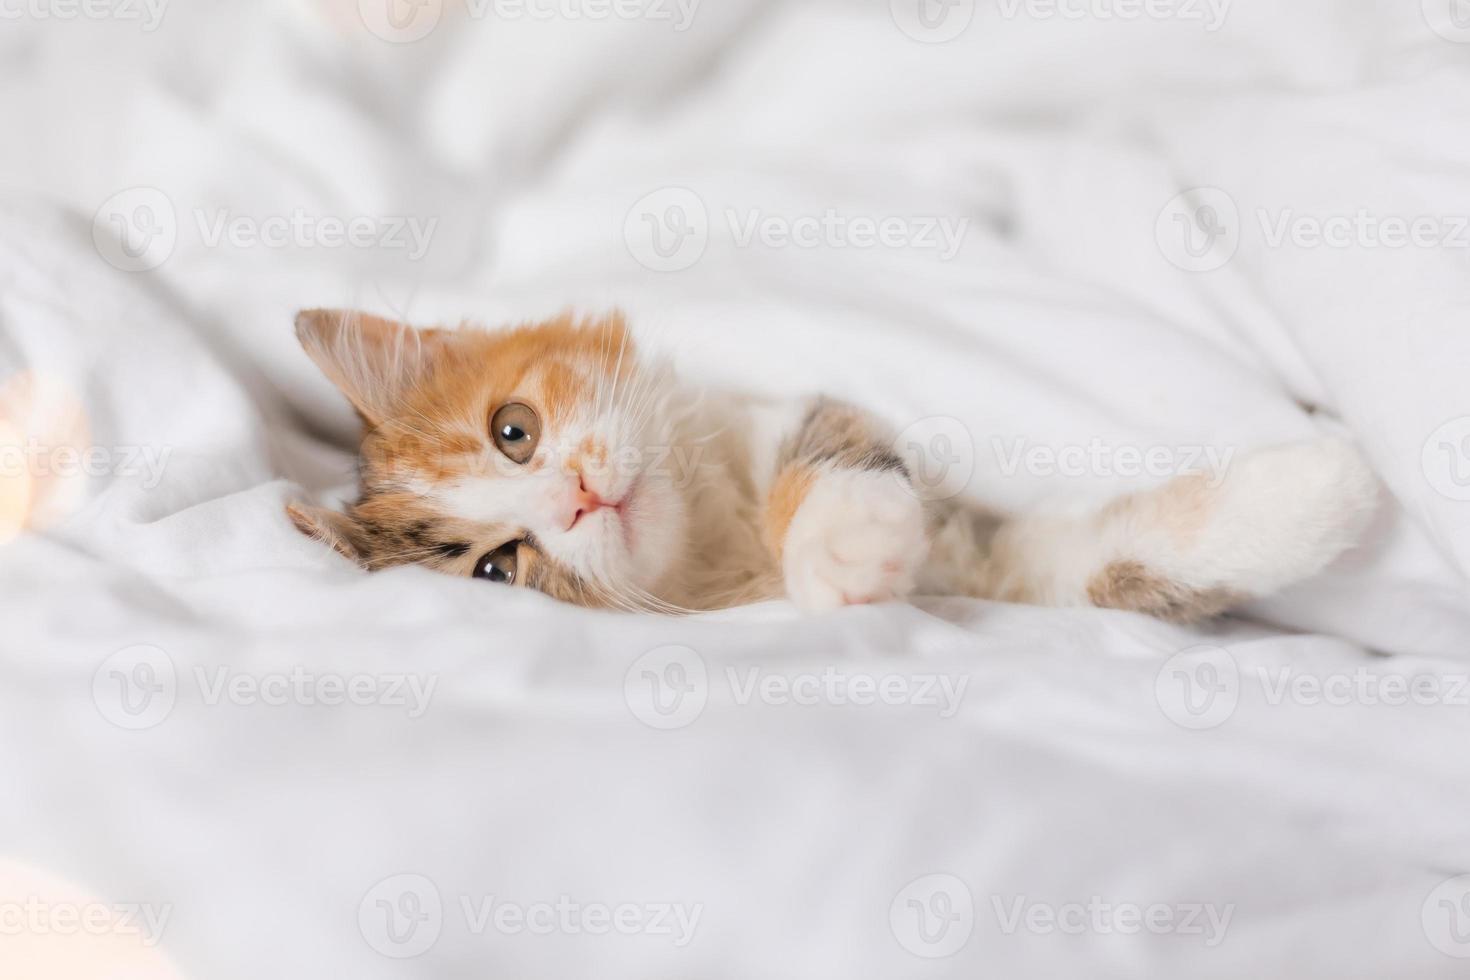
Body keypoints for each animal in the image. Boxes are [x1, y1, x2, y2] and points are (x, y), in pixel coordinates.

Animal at [286, 310, 1375, 620]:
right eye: (497, 568)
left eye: (512, 429)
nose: (580, 494)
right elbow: (1093, 566)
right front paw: (850, 562)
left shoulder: (806, 419)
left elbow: (831, 452)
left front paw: (1310, 491)